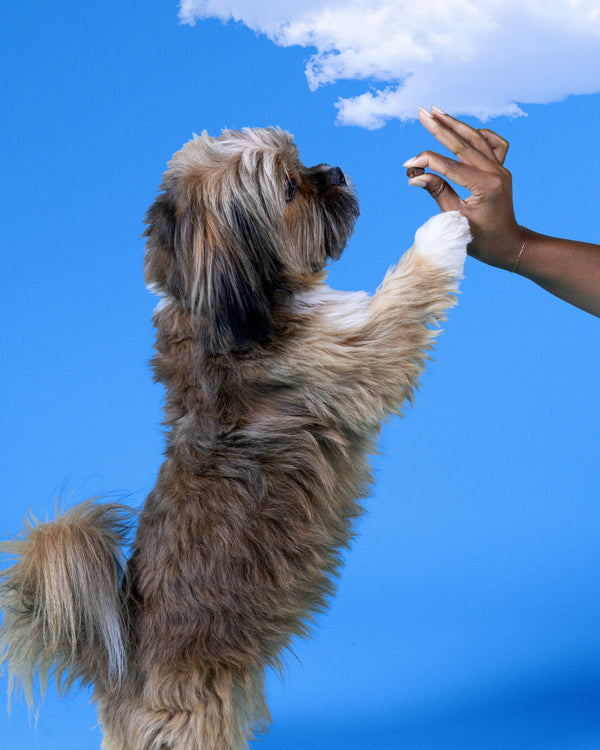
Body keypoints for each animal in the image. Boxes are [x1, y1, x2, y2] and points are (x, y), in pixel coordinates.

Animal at [0, 126, 472, 748]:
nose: (336, 171)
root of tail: (119, 667)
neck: (216, 315)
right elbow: (406, 293)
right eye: (290, 188)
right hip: (193, 717)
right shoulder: (359, 353)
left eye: (303, 161)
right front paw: (447, 227)